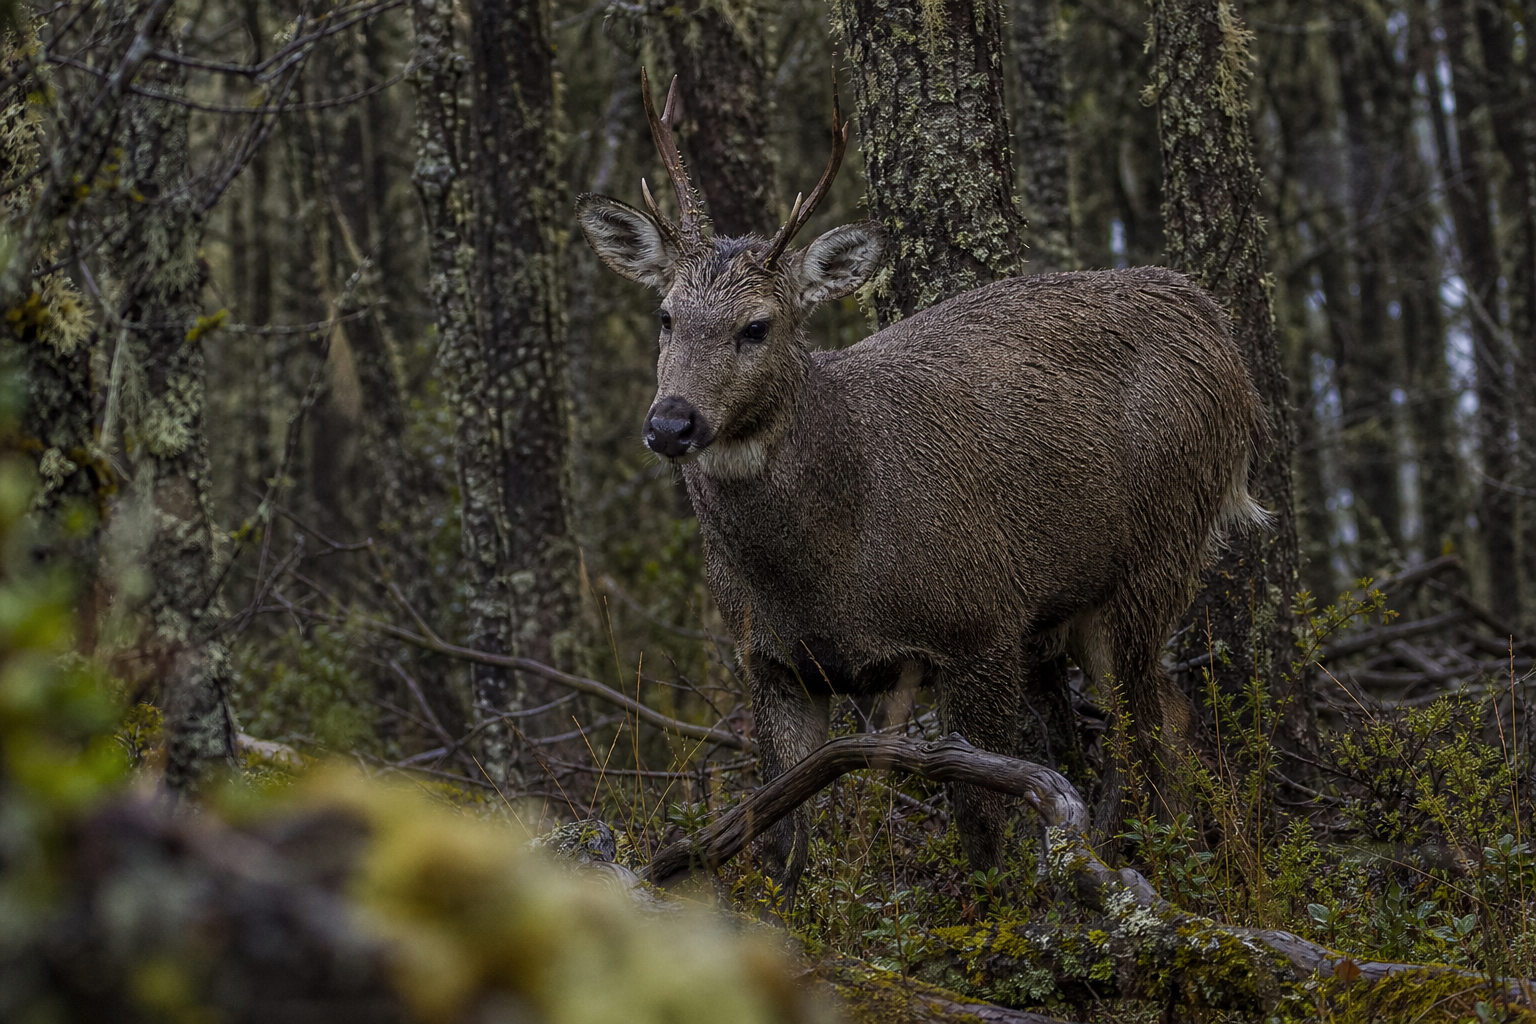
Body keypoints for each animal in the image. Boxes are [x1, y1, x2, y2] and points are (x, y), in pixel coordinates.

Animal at [575, 70, 1269, 900]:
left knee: (1146, 732)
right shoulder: (769, 659)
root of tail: (1215, 323)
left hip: (1163, 544)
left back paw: (1165, 866)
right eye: (665, 315)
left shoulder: (981, 623)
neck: (828, 569)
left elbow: (983, 828)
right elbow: (779, 843)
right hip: (1086, 598)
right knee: (1171, 713)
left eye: (758, 326)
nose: (672, 423)